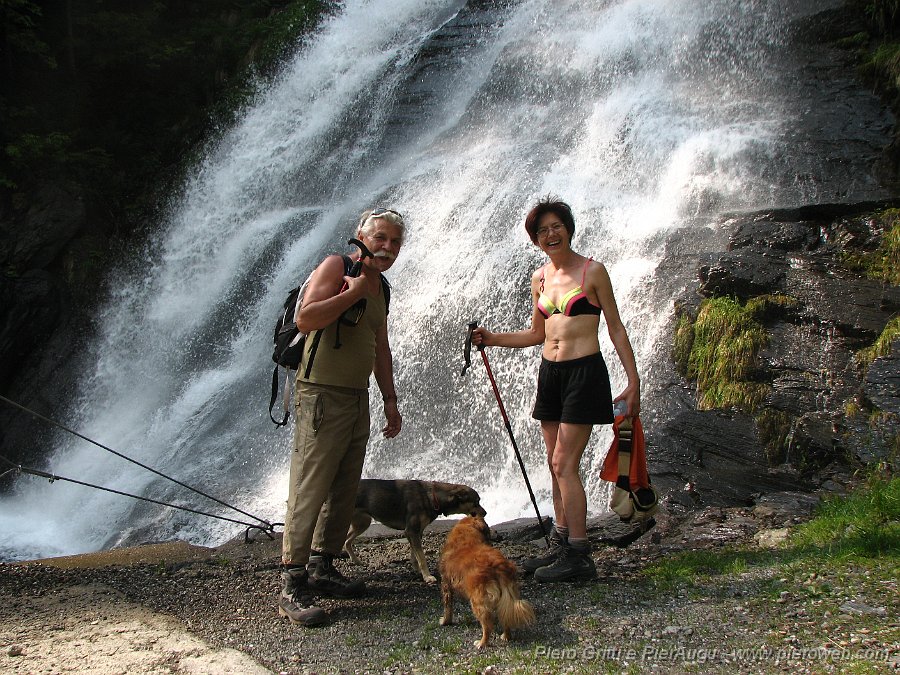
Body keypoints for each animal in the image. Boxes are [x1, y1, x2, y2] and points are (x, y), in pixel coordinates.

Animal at [342, 478, 486, 584]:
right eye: (476, 502)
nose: (485, 513)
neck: (432, 497)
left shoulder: (417, 532)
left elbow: (415, 555)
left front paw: (417, 570)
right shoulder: (411, 530)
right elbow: (421, 557)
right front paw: (427, 576)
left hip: (363, 522)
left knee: (347, 540)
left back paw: (356, 560)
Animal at [438, 516, 536, 648]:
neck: (466, 541)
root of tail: (498, 565)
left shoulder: (446, 585)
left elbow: (447, 607)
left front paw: (445, 621)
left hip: (478, 601)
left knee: (487, 625)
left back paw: (482, 643)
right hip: (507, 595)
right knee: (505, 616)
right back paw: (506, 637)